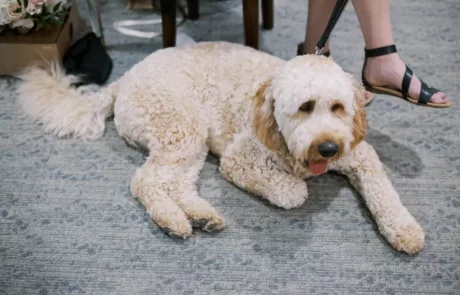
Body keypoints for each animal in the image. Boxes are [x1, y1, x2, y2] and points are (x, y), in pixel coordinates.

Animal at [16, 41, 424, 254]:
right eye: (305, 107)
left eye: (338, 107)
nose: (327, 147)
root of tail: (125, 78)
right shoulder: (238, 161)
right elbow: (293, 193)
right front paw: (295, 186)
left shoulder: (361, 155)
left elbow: (385, 195)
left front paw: (405, 229)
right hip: (180, 127)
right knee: (145, 182)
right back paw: (172, 219)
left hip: (189, 142)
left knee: (177, 184)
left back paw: (200, 215)